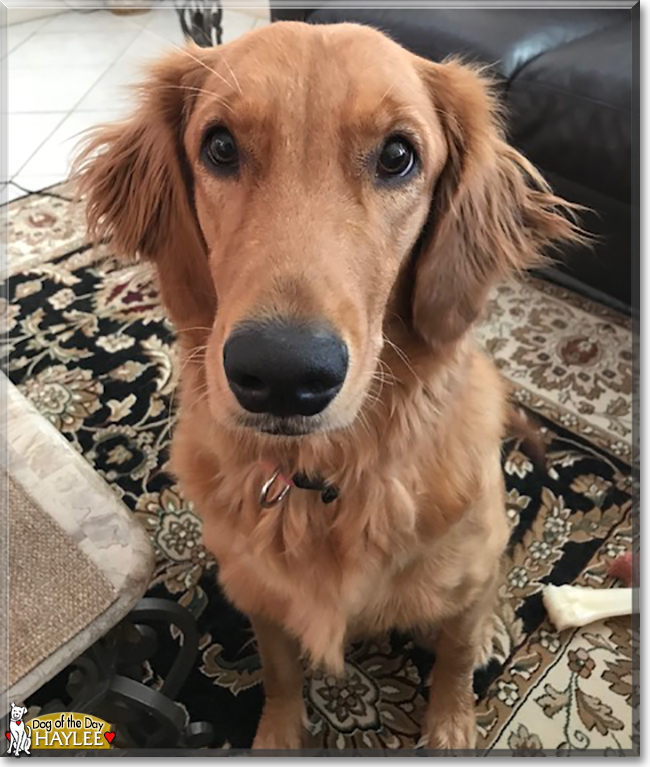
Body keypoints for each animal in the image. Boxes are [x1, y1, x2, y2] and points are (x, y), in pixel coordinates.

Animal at [73, 22, 580, 752]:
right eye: (220, 146)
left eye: (398, 155)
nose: (283, 375)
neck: (325, 477)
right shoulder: (256, 591)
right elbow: (280, 671)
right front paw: (279, 734)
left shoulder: (467, 575)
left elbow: (454, 660)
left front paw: (451, 723)